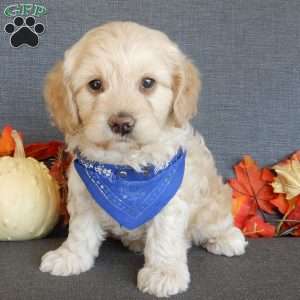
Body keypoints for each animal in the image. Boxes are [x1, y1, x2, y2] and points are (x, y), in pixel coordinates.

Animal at [39, 21, 246, 298]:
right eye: (95, 84)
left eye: (148, 83)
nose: (121, 123)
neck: (124, 169)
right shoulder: (83, 194)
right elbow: (80, 230)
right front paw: (70, 256)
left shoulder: (170, 199)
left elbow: (165, 237)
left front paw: (163, 273)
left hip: (211, 205)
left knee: (216, 222)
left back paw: (227, 239)